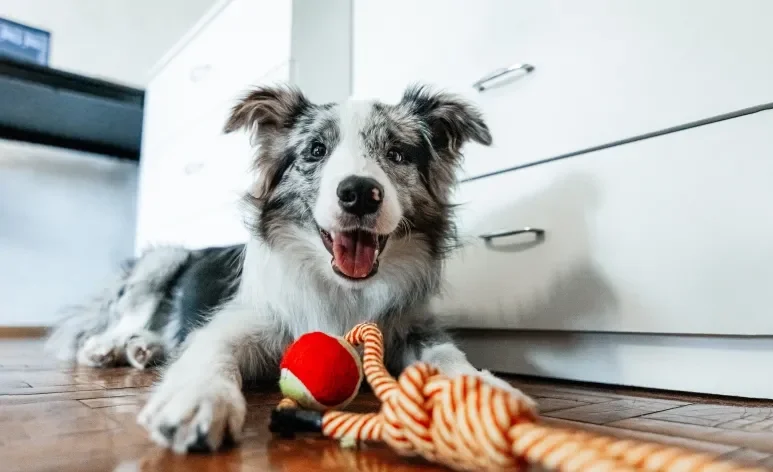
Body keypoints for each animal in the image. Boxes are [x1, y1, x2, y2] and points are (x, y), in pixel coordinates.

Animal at [45, 84, 532, 454]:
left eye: (396, 153)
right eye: (316, 150)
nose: (360, 193)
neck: (343, 290)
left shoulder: (412, 325)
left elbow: (448, 354)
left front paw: (482, 393)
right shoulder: (241, 320)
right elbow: (211, 349)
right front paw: (198, 398)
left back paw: (145, 348)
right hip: (162, 259)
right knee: (116, 321)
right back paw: (109, 347)